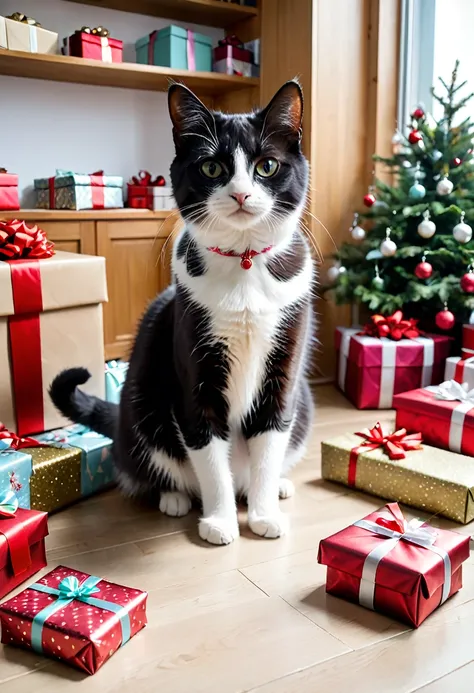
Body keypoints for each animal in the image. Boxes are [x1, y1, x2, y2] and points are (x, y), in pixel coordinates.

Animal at [50, 81, 314, 544]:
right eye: (211, 168)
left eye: (266, 166)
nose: (241, 193)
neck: (244, 266)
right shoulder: (195, 373)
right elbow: (206, 451)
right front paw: (221, 521)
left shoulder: (284, 368)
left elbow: (269, 438)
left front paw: (263, 514)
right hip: (141, 404)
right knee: (155, 465)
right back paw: (173, 498)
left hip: (306, 401)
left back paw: (274, 487)